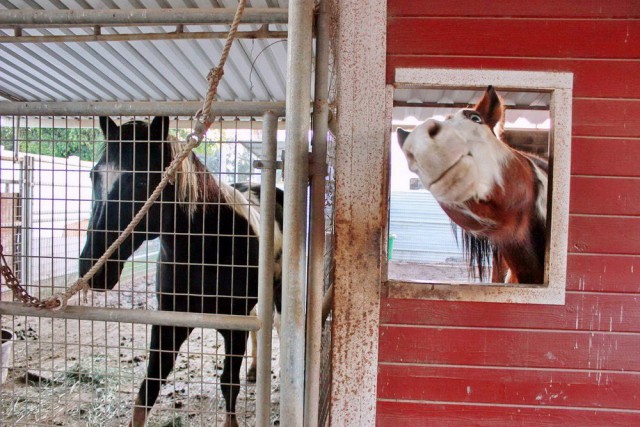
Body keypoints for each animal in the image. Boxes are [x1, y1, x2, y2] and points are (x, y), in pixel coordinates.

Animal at [78, 117, 282, 427]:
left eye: (142, 180)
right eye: (94, 176)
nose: (93, 269)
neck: (206, 250)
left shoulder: (233, 328)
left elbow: (228, 384)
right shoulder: (168, 323)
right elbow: (148, 388)